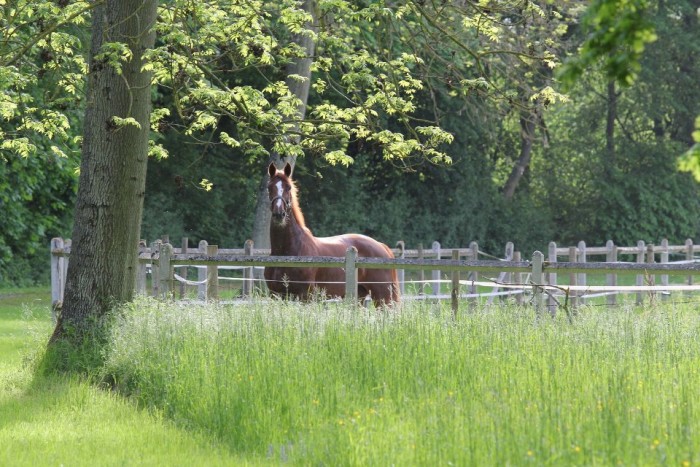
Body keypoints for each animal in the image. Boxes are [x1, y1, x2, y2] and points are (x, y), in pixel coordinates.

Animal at [263, 162, 400, 306]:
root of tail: (382, 246)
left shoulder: (306, 296)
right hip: (360, 296)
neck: (287, 253)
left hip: (383, 297)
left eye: (288, 187)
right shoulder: (275, 295)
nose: (279, 214)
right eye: (269, 187)